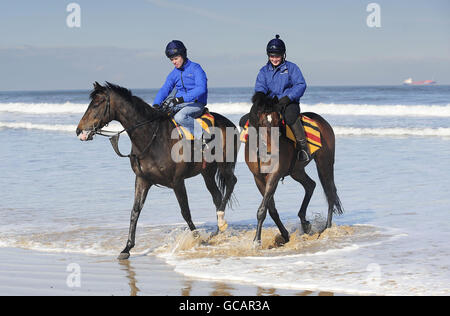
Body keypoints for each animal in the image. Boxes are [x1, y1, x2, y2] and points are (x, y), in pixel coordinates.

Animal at [76, 82, 239, 260]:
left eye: (96, 104)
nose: (79, 130)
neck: (152, 138)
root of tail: (229, 123)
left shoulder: (177, 181)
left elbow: (185, 211)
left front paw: (197, 238)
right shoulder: (142, 180)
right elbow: (135, 211)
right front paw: (127, 248)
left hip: (224, 164)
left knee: (231, 182)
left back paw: (221, 221)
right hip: (207, 172)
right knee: (217, 196)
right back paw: (218, 230)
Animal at [244, 92, 342, 247]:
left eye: (278, 120)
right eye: (263, 122)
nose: (273, 149)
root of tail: (322, 121)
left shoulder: (274, 175)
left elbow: (262, 209)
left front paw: (256, 241)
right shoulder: (258, 178)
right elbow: (271, 209)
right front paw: (285, 235)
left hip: (324, 162)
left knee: (330, 192)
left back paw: (327, 228)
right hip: (297, 171)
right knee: (310, 185)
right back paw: (305, 223)